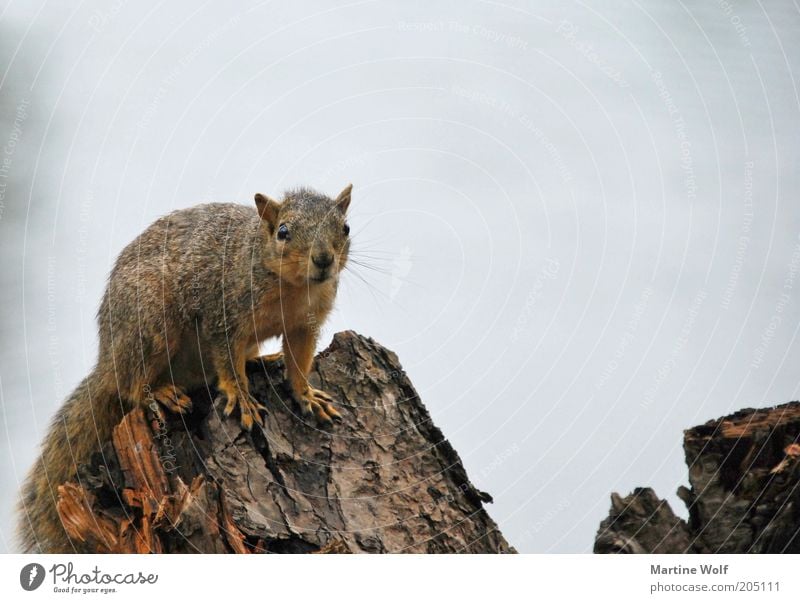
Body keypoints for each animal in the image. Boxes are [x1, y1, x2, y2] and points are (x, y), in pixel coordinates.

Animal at [14, 183, 354, 552]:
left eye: (345, 228)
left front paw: (307, 394)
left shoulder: (306, 325)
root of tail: (107, 364)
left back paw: (260, 360)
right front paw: (241, 396)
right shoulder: (222, 313)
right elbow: (227, 361)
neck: (293, 288)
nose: (323, 260)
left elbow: (300, 361)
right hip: (149, 320)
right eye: (283, 232)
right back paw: (161, 393)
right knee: (132, 385)